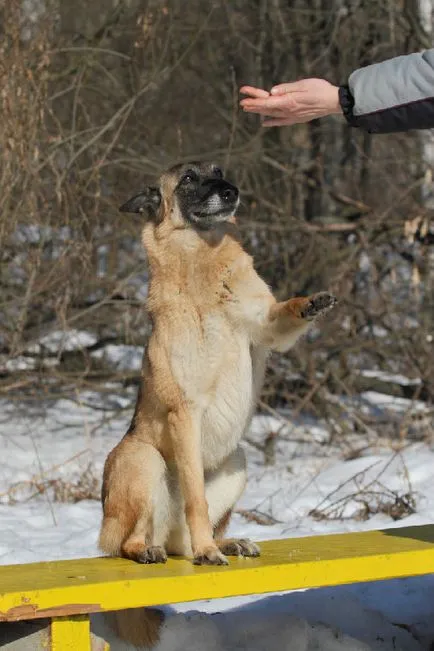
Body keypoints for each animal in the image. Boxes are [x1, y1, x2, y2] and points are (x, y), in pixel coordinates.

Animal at [97, 162, 336, 648]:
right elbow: (195, 499)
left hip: (238, 461)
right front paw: (207, 551)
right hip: (143, 459)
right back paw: (154, 549)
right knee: (132, 540)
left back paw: (226, 543)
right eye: (189, 179)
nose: (232, 192)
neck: (201, 260)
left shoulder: (266, 328)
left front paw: (312, 302)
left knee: (185, 541)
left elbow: (284, 313)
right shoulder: (185, 415)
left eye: (219, 172)